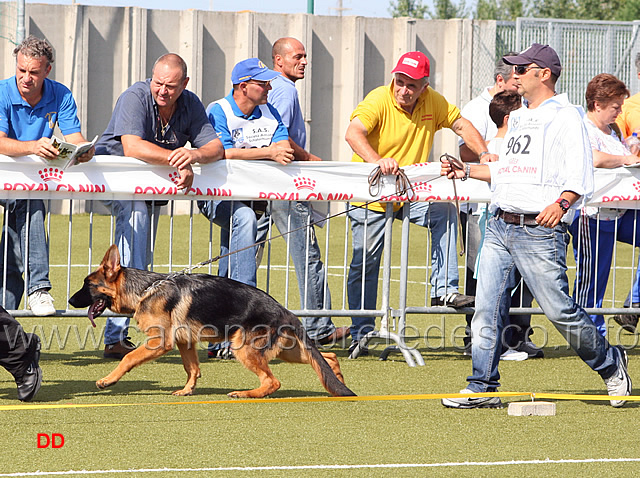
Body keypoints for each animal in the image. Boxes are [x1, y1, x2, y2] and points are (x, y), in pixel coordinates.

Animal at [70, 245, 356, 398]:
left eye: (87, 285)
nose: (70, 301)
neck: (144, 289)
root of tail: (286, 311)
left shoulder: (158, 343)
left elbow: (128, 358)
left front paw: (107, 381)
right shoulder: (184, 342)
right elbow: (192, 368)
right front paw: (187, 391)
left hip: (245, 349)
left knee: (272, 381)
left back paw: (245, 394)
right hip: (286, 350)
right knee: (326, 357)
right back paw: (338, 381)